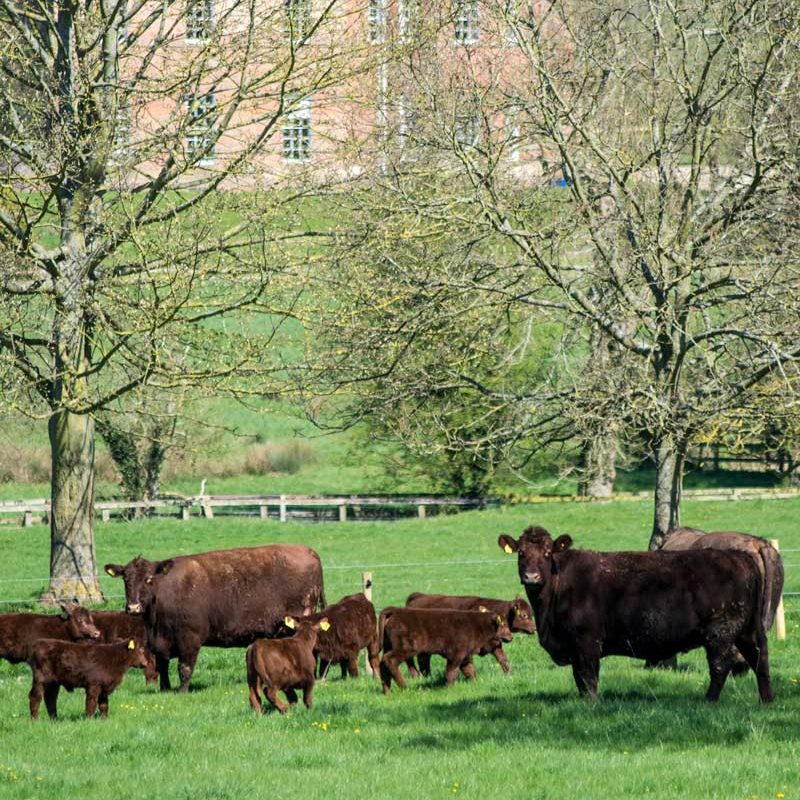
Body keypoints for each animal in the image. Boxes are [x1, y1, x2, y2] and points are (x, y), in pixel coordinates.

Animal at [104, 548, 324, 692]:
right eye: (125, 579)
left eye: (149, 579)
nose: (133, 607)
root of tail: (308, 551)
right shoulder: (159, 643)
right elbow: (163, 666)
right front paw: (165, 689)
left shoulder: (190, 640)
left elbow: (184, 669)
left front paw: (182, 691)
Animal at [376, 608, 512, 692]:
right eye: (504, 624)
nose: (511, 636)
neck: (479, 625)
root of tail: (395, 611)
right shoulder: (456, 655)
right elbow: (451, 672)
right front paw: (448, 688)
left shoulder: (465, 657)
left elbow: (470, 671)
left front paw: (475, 682)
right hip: (406, 649)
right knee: (389, 660)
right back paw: (404, 686)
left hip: (389, 647)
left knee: (382, 664)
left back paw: (387, 691)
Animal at [404, 592, 536, 676]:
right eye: (524, 615)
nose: (534, 628)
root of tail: (416, 598)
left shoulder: (495, 644)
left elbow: (503, 659)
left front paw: (510, 675)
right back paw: (415, 675)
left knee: (423, 659)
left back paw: (427, 675)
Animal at [496, 528, 772, 704]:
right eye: (521, 553)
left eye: (546, 553)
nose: (531, 576)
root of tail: (739, 556)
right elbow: (580, 679)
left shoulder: (587, 642)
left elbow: (588, 678)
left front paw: (591, 705)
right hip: (747, 631)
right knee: (760, 659)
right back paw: (766, 699)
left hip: (720, 632)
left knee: (720, 665)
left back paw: (709, 700)